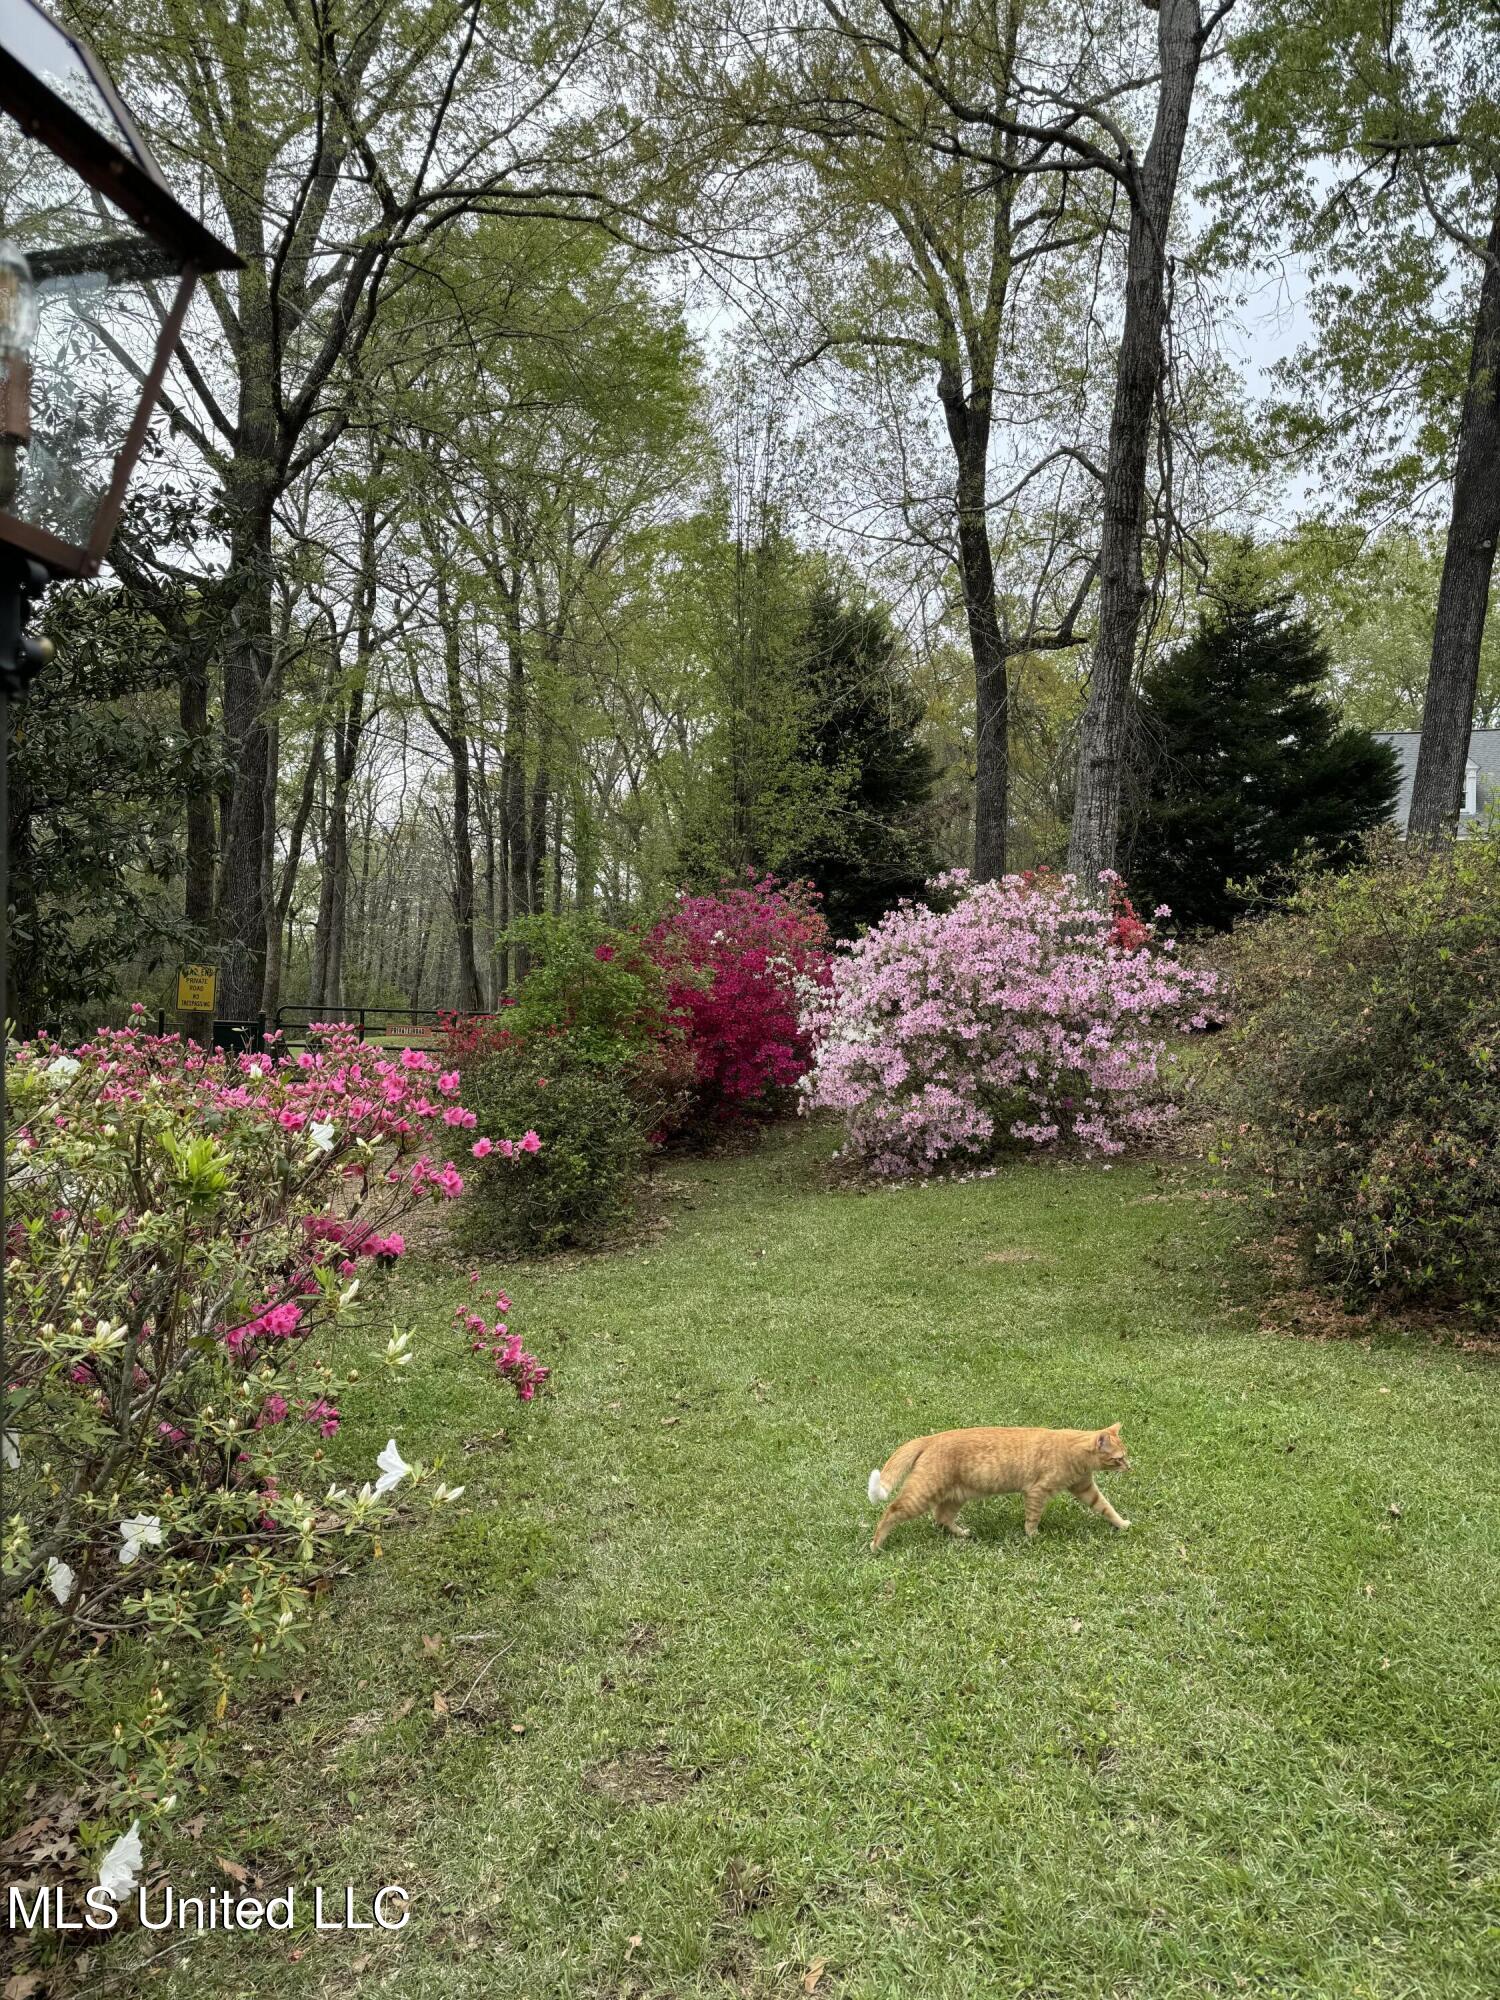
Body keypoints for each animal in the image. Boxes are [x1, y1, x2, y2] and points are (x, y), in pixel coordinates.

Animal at [866, 1423, 1131, 1550]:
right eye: (1119, 1459)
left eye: (1125, 1456)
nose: (1130, 1467)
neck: (1072, 1448)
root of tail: (931, 1438)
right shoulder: (1037, 1491)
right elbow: (1032, 1518)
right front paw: (1033, 1536)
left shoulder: (1085, 1488)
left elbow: (1106, 1507)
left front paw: (1122, 1524)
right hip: (921, 1495)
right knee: (891, 1511)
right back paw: (876, 1545)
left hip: (955, 1496)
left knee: (941, 1517)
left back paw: (962, 1533)